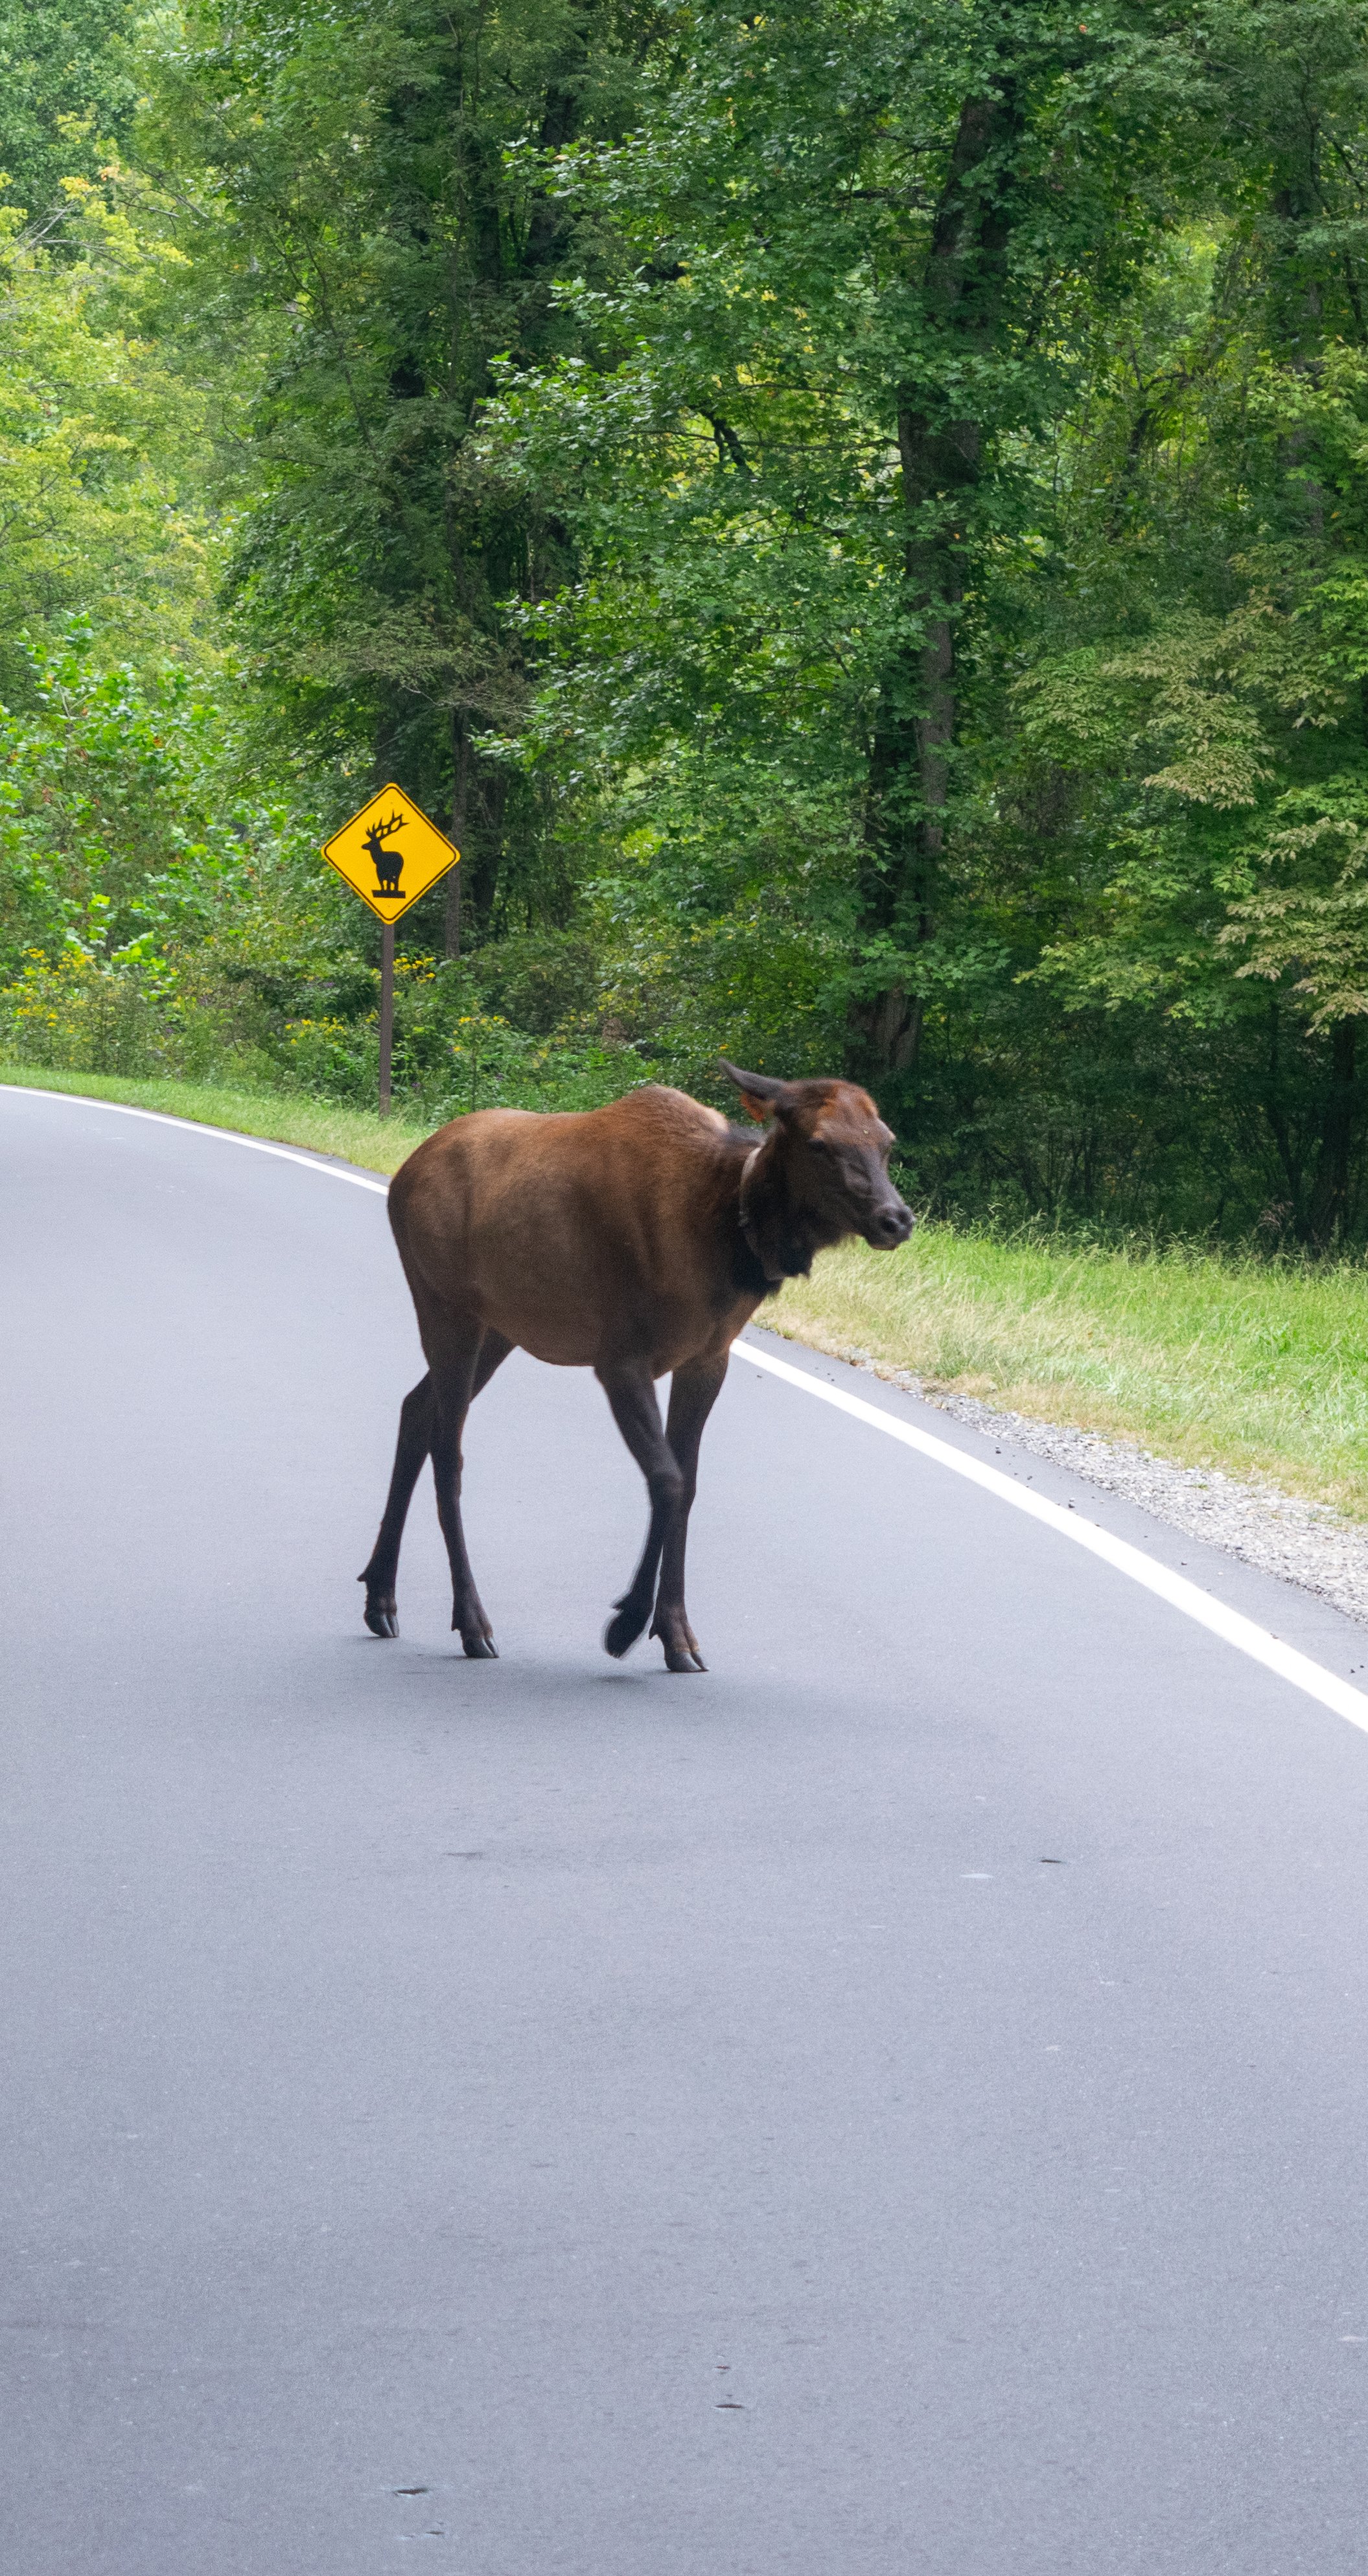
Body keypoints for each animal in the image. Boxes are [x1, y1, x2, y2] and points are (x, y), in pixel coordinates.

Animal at [359, 1063, 914, 1671]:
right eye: (818, 1143)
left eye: (886, 1141)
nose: (895, 1219)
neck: (724, 1238)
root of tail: (403, 1174)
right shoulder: (621, 1358)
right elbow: (666, 1480)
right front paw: (627, 1623)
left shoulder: (708, 1358)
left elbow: (688, 1485)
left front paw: (677, 1634)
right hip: (445, 1305)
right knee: (448, 1450)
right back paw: (471, 1621)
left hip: (501, 1327)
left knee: (416, 1409)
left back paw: (379, 1596)